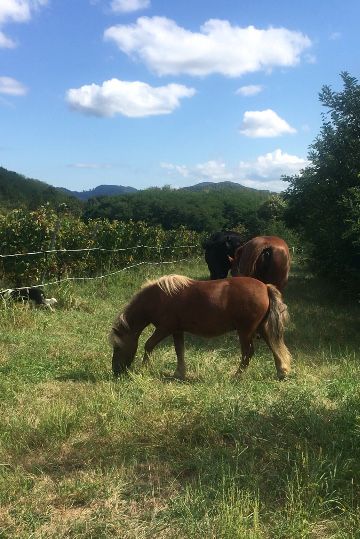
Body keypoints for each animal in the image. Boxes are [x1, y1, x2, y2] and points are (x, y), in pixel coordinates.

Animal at [108, 276, 292, 382]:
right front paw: (179, 373)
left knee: (248, 353)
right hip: (261, 328)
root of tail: (265, 287)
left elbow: (148, 345)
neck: (158, 297)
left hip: (245, 332)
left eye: (117, 347)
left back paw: (237, 376)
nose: (115, 371)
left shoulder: (165, 328)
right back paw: (281, 372)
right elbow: (179, 351)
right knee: (274, 347)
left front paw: (143, 369)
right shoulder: (177, 330)